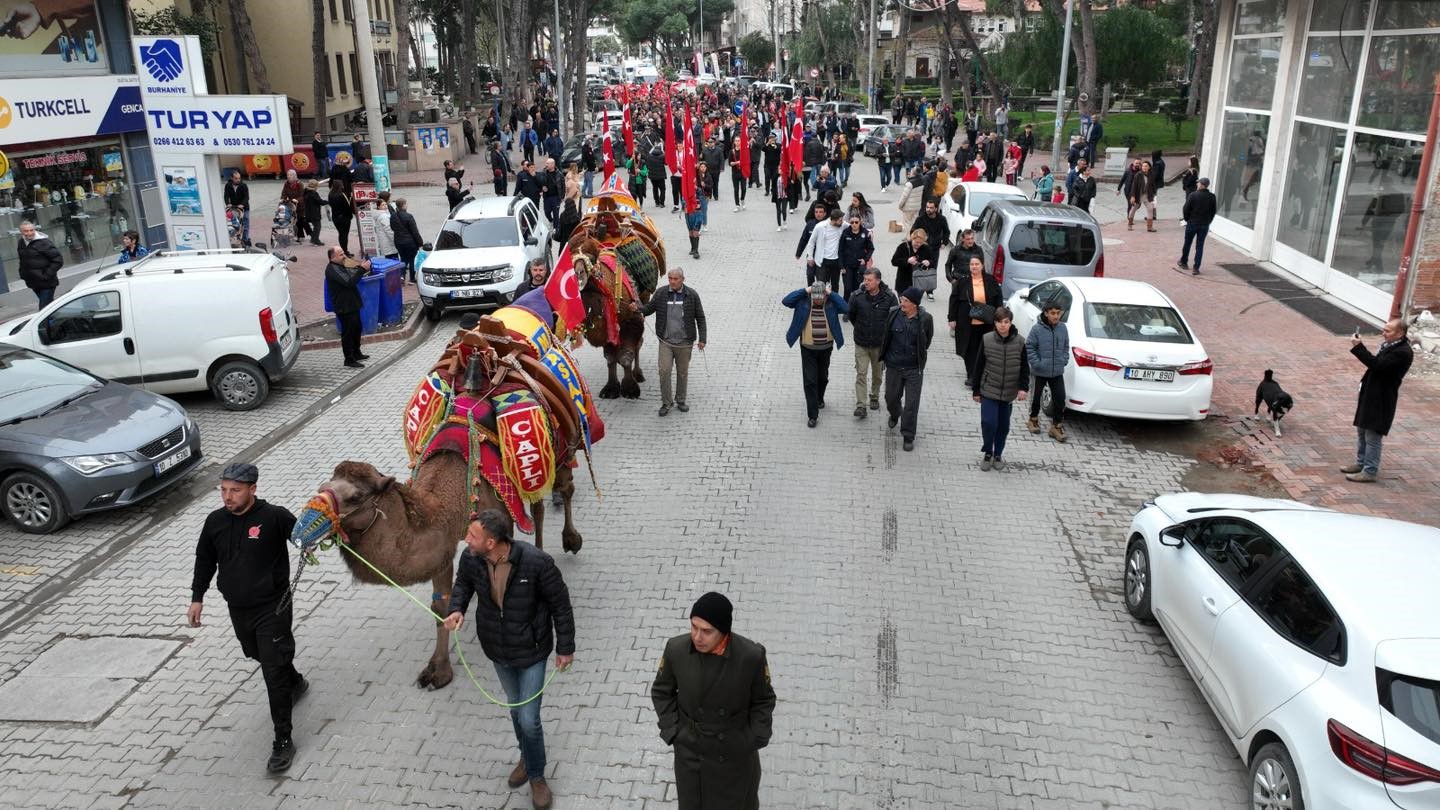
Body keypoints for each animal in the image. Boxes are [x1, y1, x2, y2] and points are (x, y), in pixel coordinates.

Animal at [288, 188, 668, 686]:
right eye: (323, 485)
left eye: (355, 496)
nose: (302, 525)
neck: (447, 492)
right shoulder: (445, 544)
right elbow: (440, 604)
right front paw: (438, 669)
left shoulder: (489, 511)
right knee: (540, 501)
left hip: (563, 440)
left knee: (563, 485)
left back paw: (567, 540)